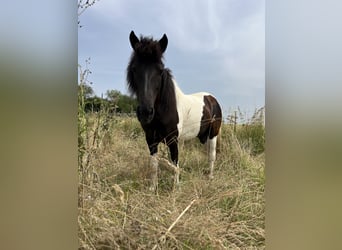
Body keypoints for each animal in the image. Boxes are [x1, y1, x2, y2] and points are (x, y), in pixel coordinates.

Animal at [125, 30, 222, 189]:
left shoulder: (173, 140)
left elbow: (175, 163)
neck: (164, 110)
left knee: (211, 156)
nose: (145, 113)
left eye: (160, 70)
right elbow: (154, 164)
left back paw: (210, 177)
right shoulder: (150, 139)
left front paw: (175, 187)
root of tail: (212, 99)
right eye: (133, 68)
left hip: (213, 134)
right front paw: (153, 188)